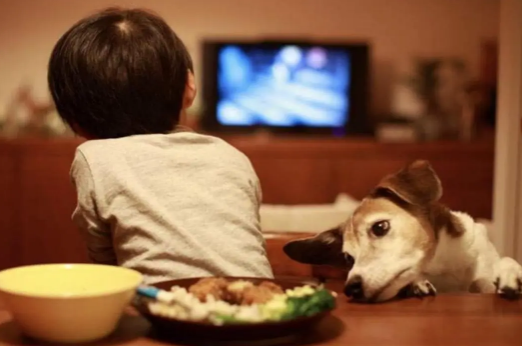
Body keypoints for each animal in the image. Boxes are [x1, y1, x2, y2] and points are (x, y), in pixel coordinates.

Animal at [282, 160, 520, 302]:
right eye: (348, 258)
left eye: (380, 227)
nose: (351, 288)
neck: (443, 266)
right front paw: (416, 285)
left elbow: (491, 273)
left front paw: (510, 274)